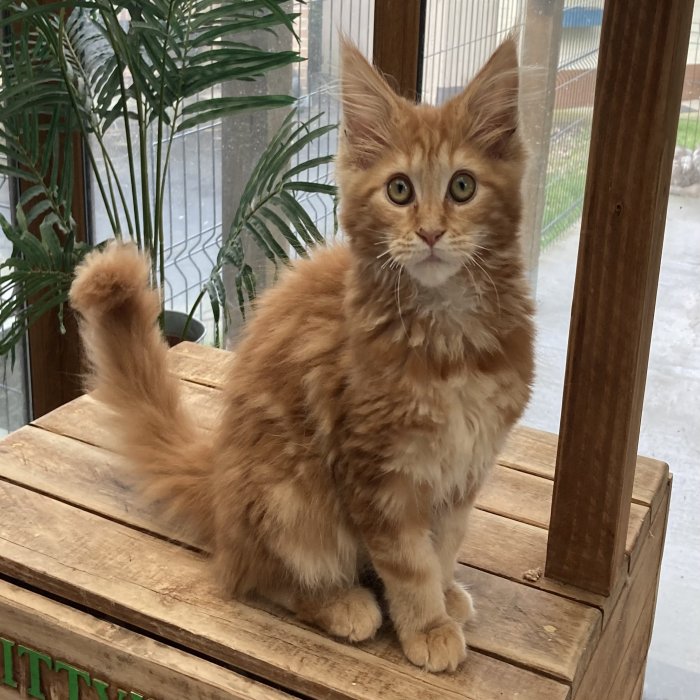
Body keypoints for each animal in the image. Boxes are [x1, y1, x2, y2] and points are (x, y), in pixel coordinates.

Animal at [69, 35, 534, 673]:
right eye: (399, 190)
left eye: (462, 187)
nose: (432, 233)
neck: (449, 337)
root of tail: (220, 487)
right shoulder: (377, 473)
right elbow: (410, 564)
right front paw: (427, 625)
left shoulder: (463, 469)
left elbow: (443, 547)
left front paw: (443, 598)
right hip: (292, 494)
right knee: (255, 576)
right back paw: (343, 603)